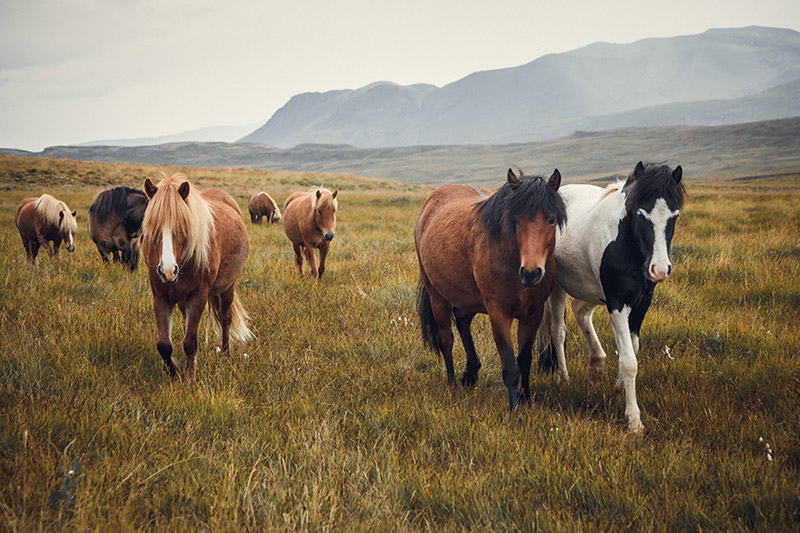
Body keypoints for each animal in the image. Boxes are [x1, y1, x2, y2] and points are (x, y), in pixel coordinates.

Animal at [141, 172, 253, 380]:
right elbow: (164, 345)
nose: (168, 271)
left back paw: (225, 353)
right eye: (154, 229)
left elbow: (190, 343)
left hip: (228, 287)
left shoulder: (198, 295)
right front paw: (173, 369)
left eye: (182, 228)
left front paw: (189, 378)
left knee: (225, 318)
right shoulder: (161, 296)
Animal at [416, 168, 564, 410]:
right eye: (516, 221)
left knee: (462, 319)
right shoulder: (498, 314)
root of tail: (428, 205)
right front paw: (514, 410)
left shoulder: (533, 313)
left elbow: (524, 359)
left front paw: (526, 398)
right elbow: (511, 367)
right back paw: (452, 384)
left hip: (467, 298)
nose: (531, 273)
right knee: (446, 338)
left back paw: (470, 373)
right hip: (436, 294)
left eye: (551, 220)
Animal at [536, 161, 684, 432]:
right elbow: (629, 361)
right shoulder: (617, 302)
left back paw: (597, 364)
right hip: (557, 288)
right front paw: (634, 421)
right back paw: (564, 379)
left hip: (590, 289)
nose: (659, 270)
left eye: (674, 215)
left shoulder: (641, 304)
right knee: (558, 331)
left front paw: (618, 390)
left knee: (581, 312)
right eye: (640, 213)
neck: (626, 243)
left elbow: (632, 348)